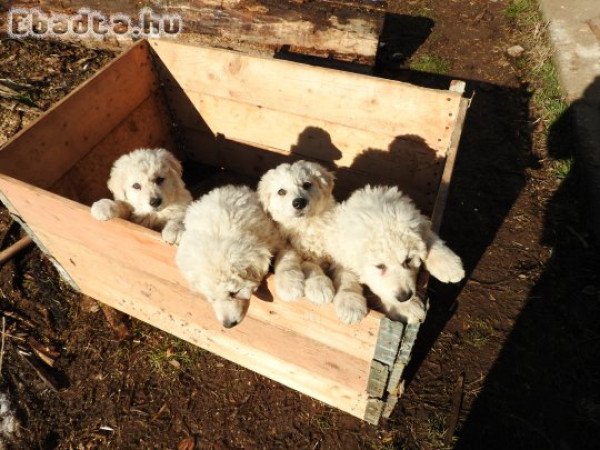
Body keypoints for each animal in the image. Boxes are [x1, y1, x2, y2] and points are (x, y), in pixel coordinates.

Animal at [255, 160, 368, 326]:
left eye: (307, 184)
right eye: (281, 192)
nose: (299, 203)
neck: (308, 224)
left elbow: (348, 277)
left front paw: (351, 305)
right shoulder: (289, 246)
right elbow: (300, 263)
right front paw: (305, 287)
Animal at [328, 185, 464, 324]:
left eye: (408, 260)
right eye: (380, 266)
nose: (405, 297)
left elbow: (428, 237)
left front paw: (449, 264)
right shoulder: (339, 253)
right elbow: (346, 274)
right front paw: (350, 302)